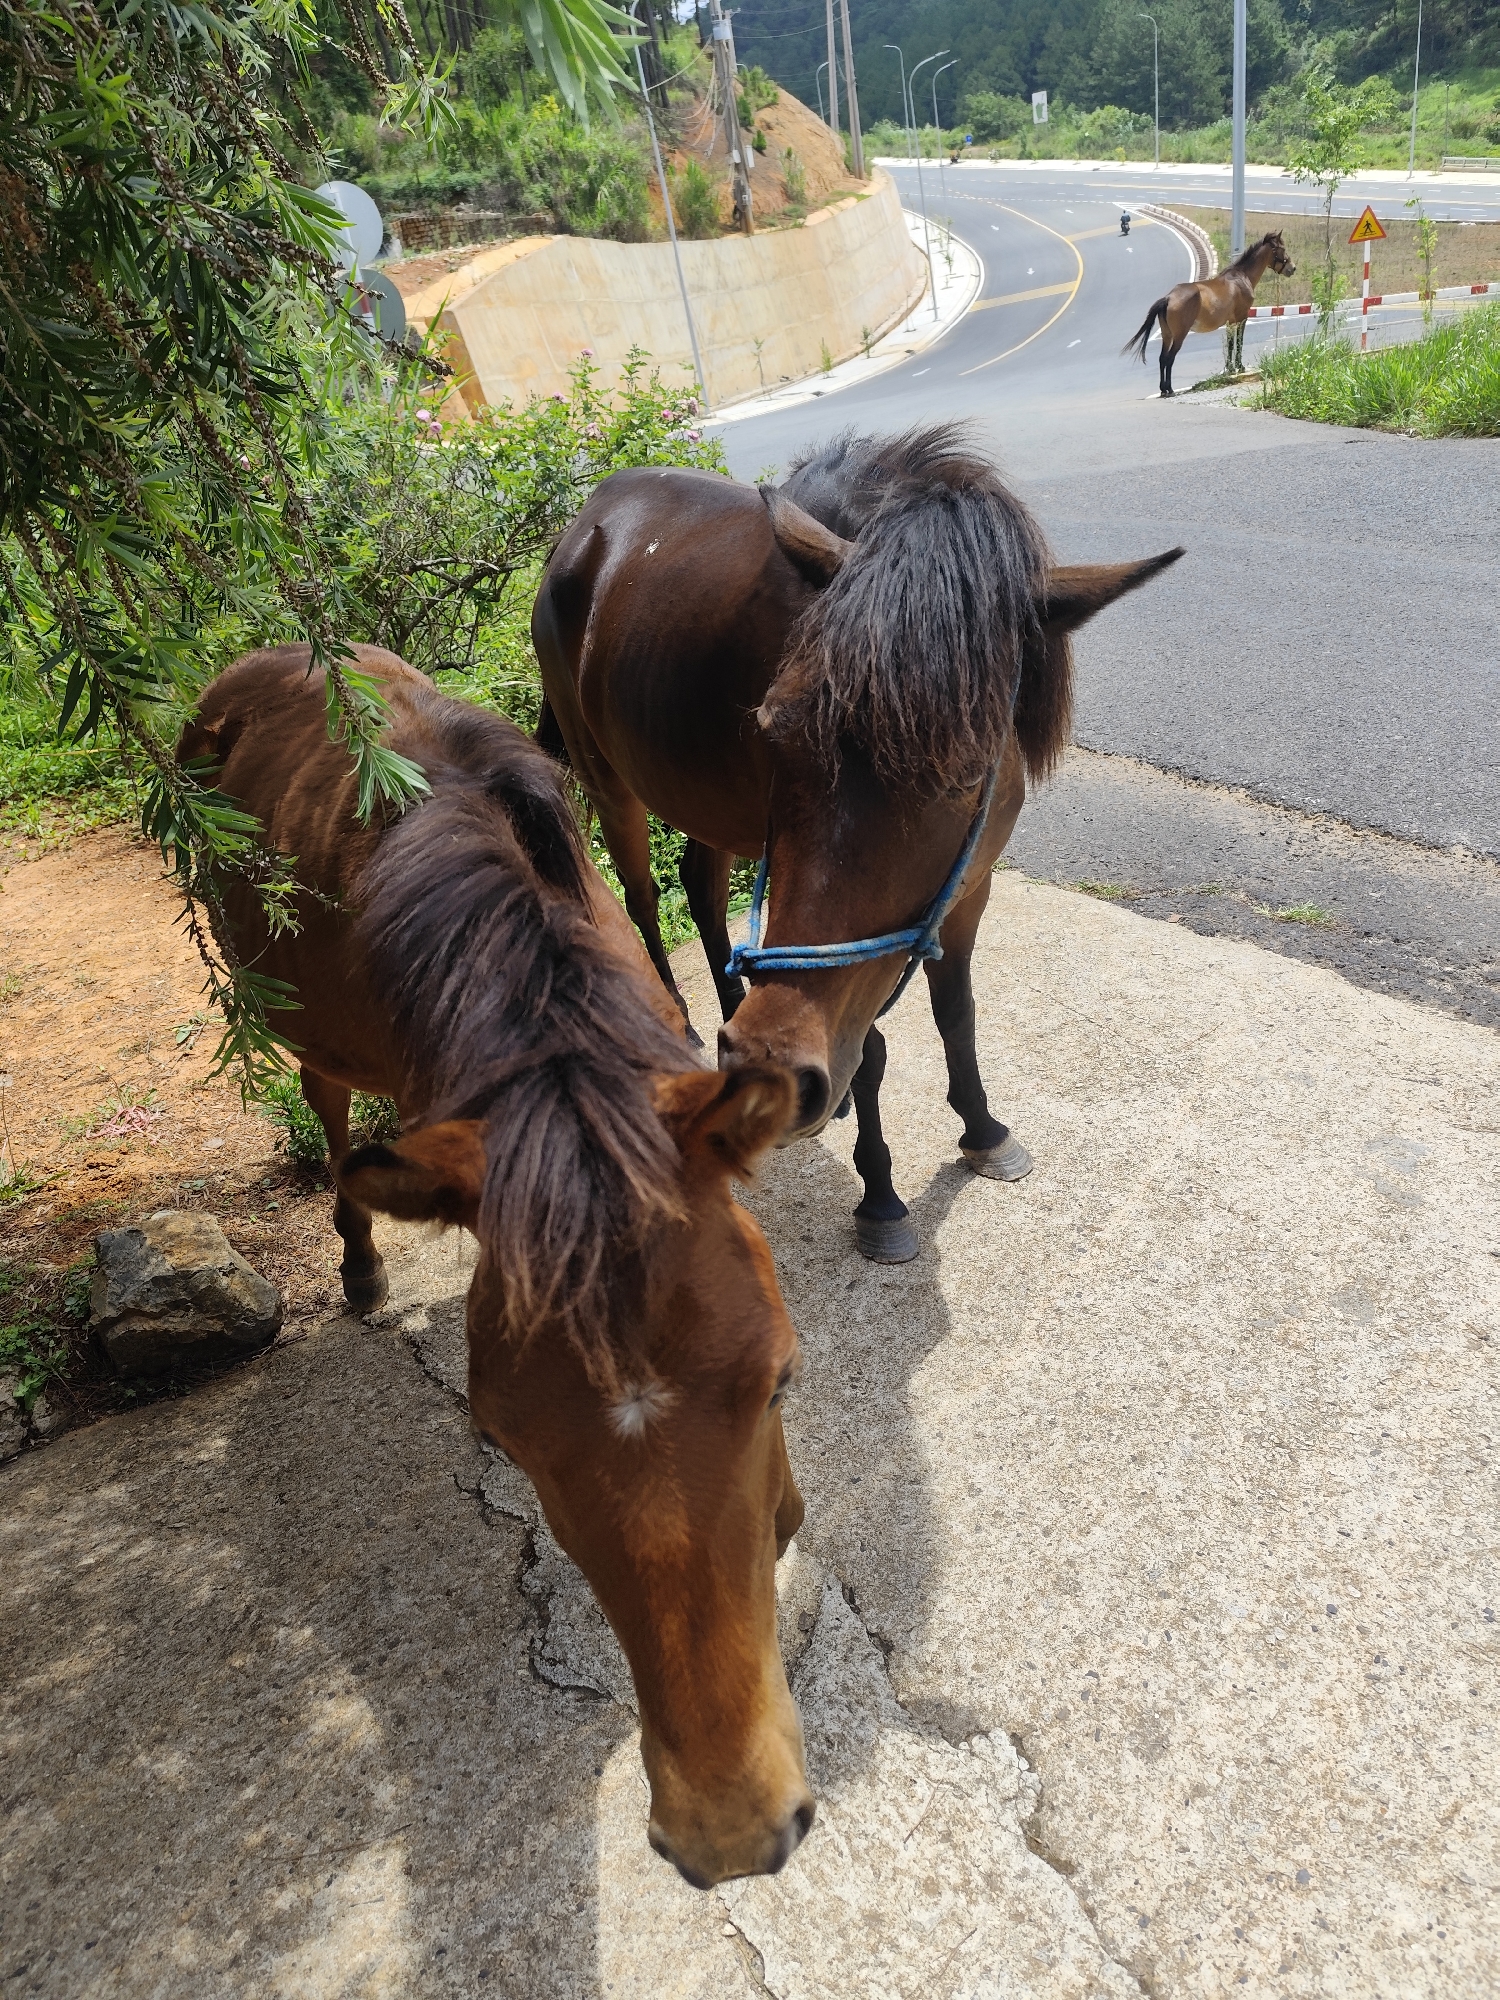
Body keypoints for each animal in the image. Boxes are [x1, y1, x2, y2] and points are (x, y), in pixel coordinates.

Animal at [177, 646, 814, 1889]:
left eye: (781, 1380)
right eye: (501, 1438)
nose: (729, 1826)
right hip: (299, 1030)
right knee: (330, 1110)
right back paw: (361, 1264)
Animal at [533, 426, 1182, 1261]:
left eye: (962, 774)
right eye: (771, 731)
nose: (769, 1063)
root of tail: (580, 530)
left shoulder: (966, 890)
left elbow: (957, 1014)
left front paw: (983, 1129)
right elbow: (869, 1052)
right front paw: (880, 1195)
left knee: (702, 890)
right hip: (610, 782)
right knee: (643, 899)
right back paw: (685, 1028)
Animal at [1124, 230, 1296, 396]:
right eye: (1282, 248)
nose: (1292, 268)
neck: (1241, 277)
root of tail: (1168, 297)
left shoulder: (1230, 322)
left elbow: (1230, 345)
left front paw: (1230, 368)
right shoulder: (1242, 318)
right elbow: (1239, 342)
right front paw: (1239, 366)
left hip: (1167, 335)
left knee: (1162, 358)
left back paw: (1163, 389)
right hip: (1179, 335)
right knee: (1170, 358)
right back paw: (1170, 389)